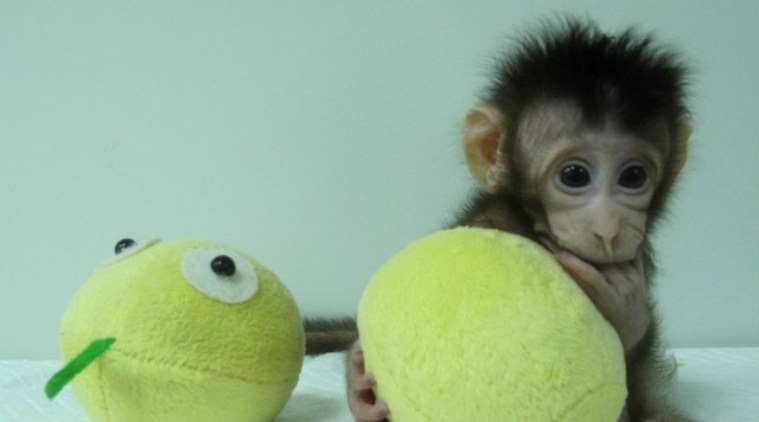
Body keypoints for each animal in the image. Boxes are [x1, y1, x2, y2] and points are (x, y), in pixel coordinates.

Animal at [307, 17, 694, 422]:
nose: (607, 228)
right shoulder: (488, 220)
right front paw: (358, 381)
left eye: (633, 177)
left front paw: (626, 308)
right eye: (574, 175)